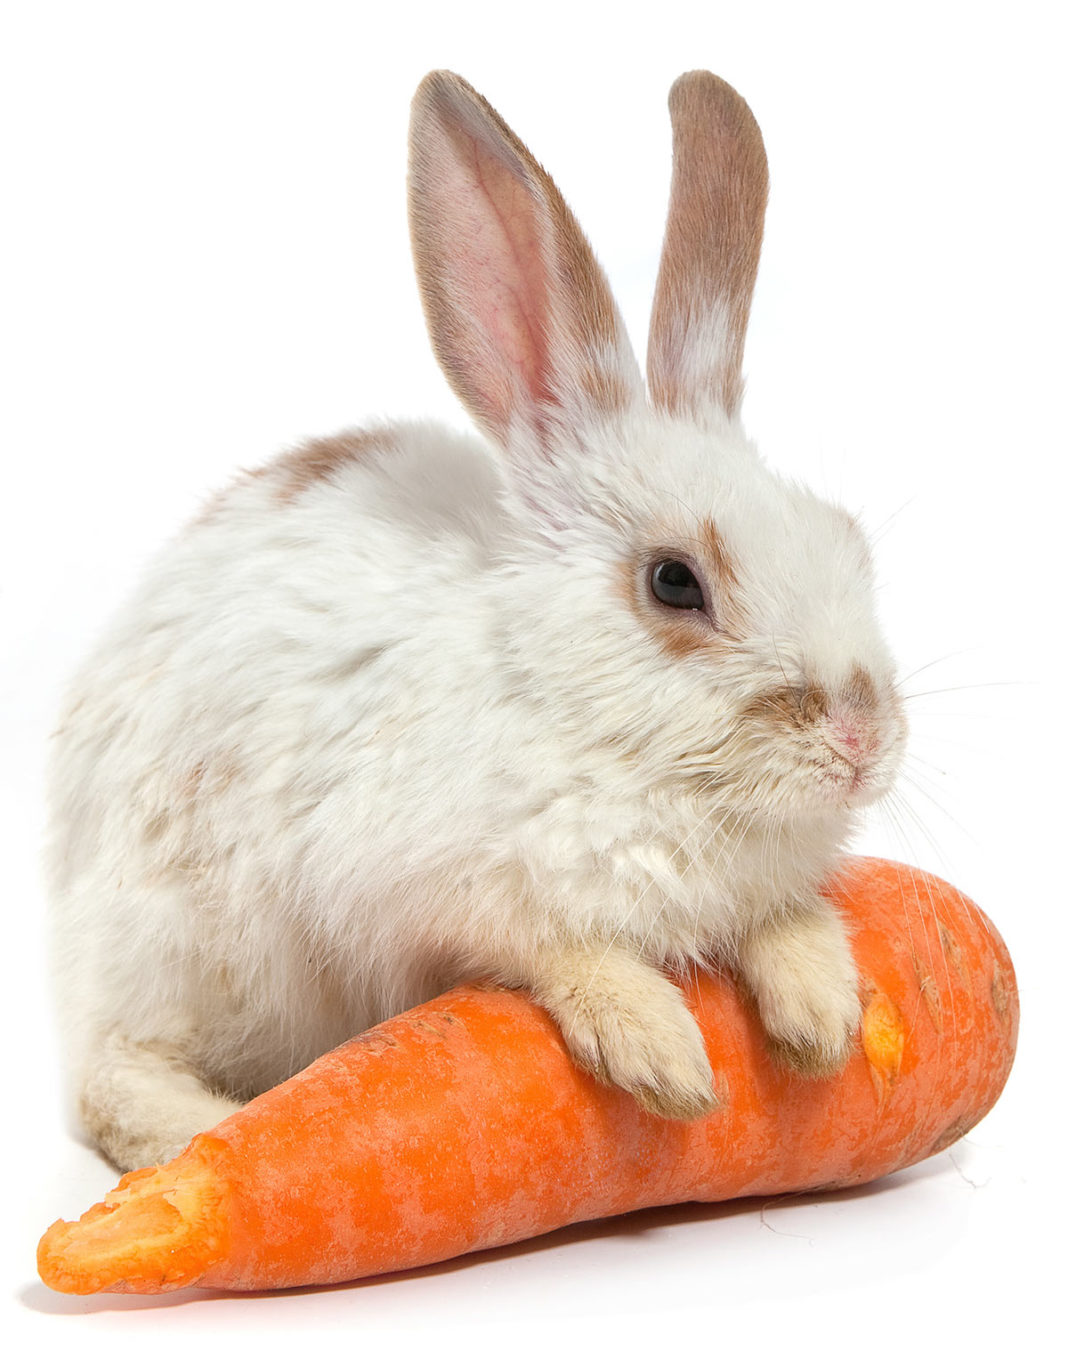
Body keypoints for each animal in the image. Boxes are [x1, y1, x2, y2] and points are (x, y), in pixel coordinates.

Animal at [45, 69, 902, 1170]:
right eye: (675, 582)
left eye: (847, 539)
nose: (863, 741)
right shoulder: (430, 894)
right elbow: (561, 949)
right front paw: (661, 1053)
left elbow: (785, 925)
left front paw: (823, 1017)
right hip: (177, 943)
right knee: (109, 1077)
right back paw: (206, 1133)